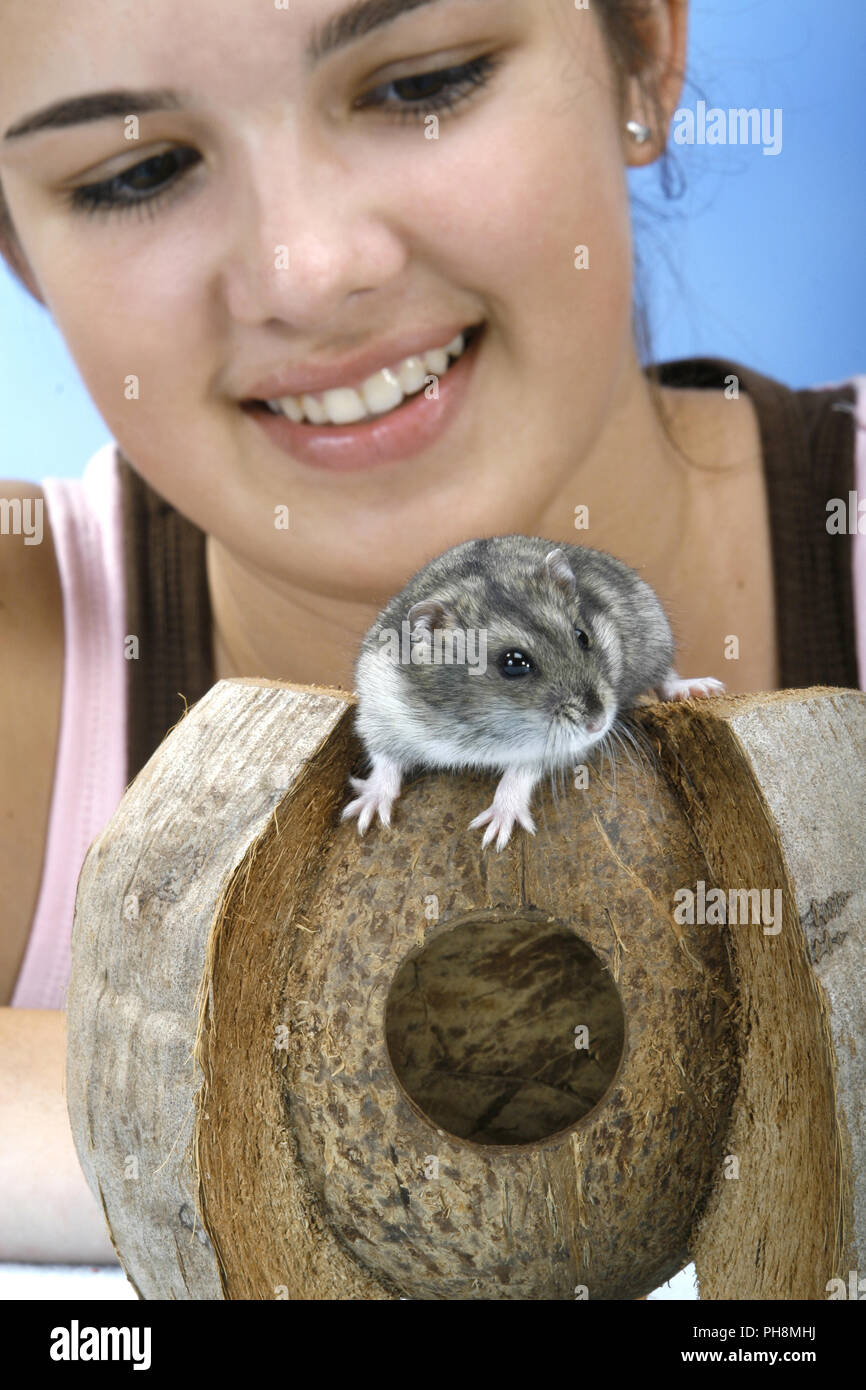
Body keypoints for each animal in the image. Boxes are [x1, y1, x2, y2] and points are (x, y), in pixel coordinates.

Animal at [340, 535, 724, 851]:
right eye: (513, 663)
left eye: (583, 636)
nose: (598, 725)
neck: (480, 724)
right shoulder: (380, 714)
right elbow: (385, 762)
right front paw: (363, 815)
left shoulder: (557, 747)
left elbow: (519, 772)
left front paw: (496, 832)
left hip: (655, 637)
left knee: (665, 675)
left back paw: (699, 687)